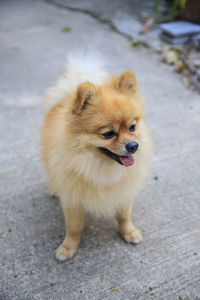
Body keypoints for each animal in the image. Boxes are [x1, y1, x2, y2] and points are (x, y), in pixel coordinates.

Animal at [40, 55, 153, 262]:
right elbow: (73, 228)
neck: (100, 167)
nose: (134, 146)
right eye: (109, 134)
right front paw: (68, 248)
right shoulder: (73, 198)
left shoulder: (123, 190)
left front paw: (129, 232)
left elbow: (124, 216)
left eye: (132, 127)